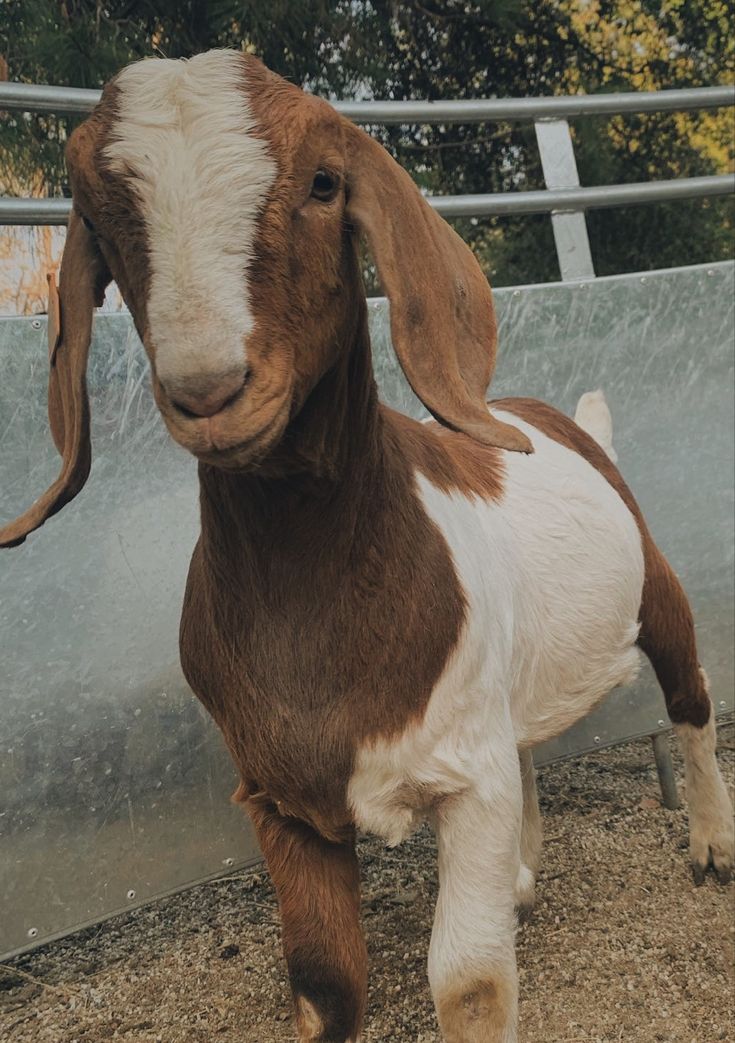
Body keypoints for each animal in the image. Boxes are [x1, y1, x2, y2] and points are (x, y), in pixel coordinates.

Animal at [2, 52, 729, 1043]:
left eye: (322, 183)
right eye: (103, 222)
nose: (208, 389)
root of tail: (553, 418)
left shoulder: (464, 779)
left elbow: (468, 982)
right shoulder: (281, 799)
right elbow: (324, 983)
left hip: (655, 584)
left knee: (689, 694)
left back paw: (710, 844)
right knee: (528, 751)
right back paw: (523, 877)